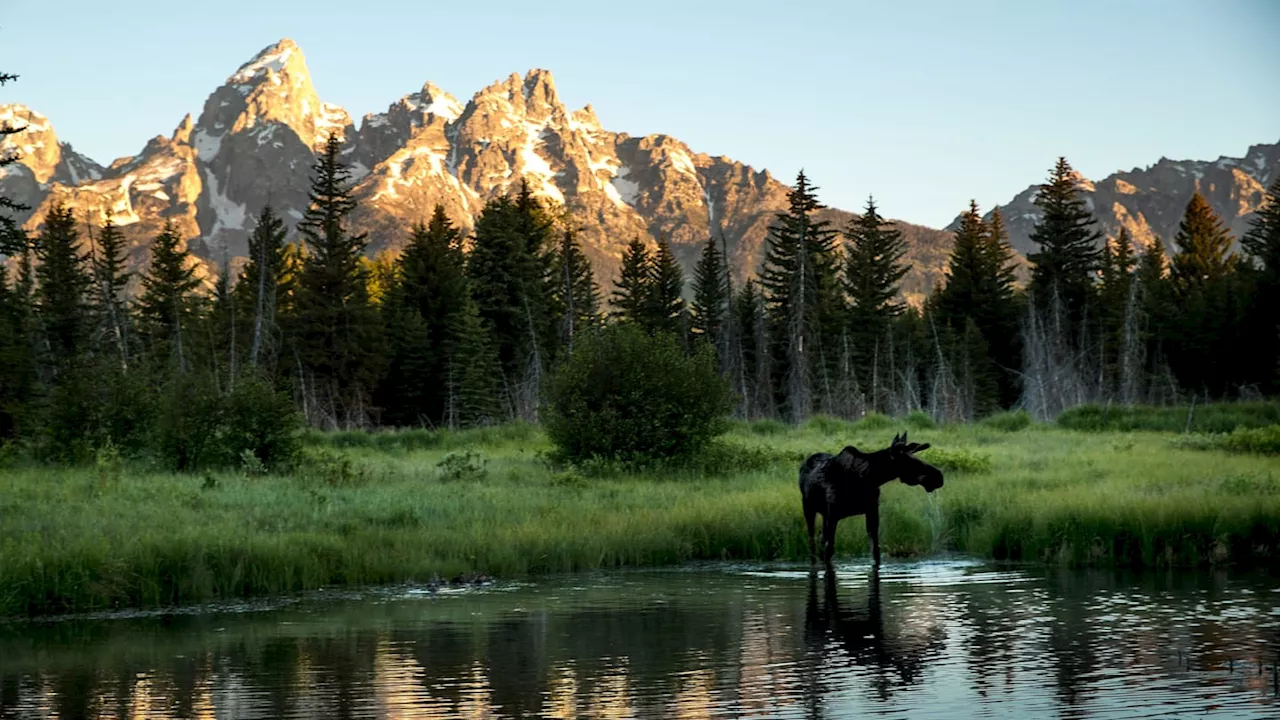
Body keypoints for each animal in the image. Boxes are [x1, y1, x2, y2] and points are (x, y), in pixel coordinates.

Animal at [793, 427, 947, 563]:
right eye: (909, 461)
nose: (939, 477)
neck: (868, 478)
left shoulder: (872, 511)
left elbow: (876, 552)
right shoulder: (833, 515)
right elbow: (829, 551)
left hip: (824, 515)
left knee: (820, 540)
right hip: (809, 510)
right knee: (813, 543)